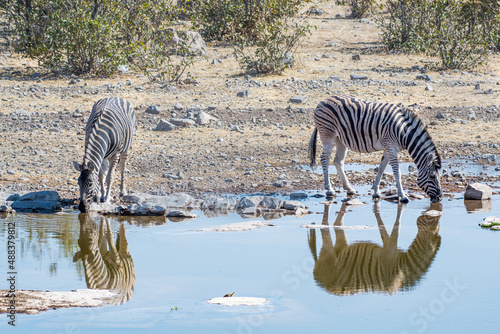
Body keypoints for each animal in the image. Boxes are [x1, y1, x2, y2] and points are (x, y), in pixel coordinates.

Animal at [306, 201, 444, 294]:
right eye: (434, 220)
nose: (437, 204)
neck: (404, 267)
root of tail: (319, 282)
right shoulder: (389, 253)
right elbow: (394, 228)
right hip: (328, 254)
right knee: (325, 230)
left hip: (340, 248)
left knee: (337, 226)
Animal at [308, 95, 442, 202]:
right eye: (432, 176)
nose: (440, 198)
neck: (403, 131)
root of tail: (322, 101)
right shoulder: (391, 147)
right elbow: (397, 172)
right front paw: (403, 196)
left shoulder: (389, 148)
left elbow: (382, 168)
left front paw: (376, 191)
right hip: (327, 135)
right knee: (324, 159)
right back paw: (329, 189)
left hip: (340, 139)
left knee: (338, 161)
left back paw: (349, 188)